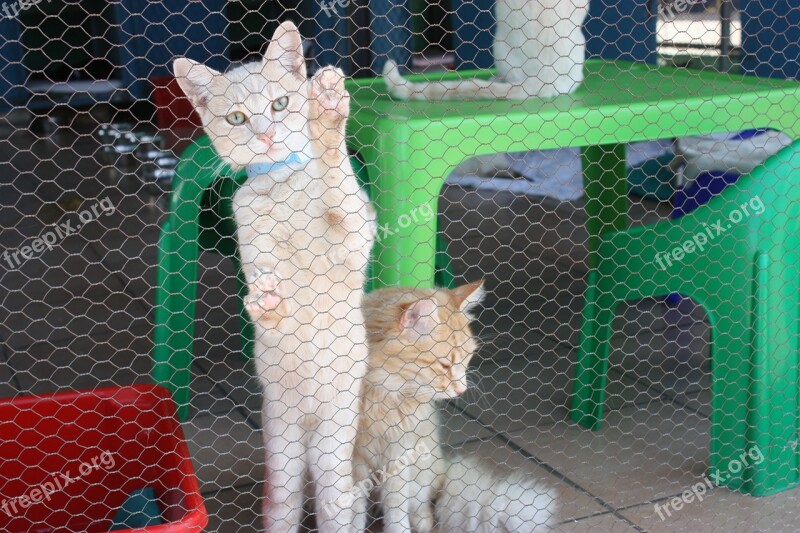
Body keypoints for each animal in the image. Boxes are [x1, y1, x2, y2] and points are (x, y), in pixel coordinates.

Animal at [173, 19, 376, 528]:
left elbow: (338, 186)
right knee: (284, 501)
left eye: (280, 104)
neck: (283, 183)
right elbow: (272, 307)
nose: (266, 136)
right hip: (281, 453)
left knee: (334, 503)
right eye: (238, 118)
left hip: (334, 445)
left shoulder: (353, 236)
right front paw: (266, 299)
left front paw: (327, 113)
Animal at [350, 280, 556, 528]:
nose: (462, 389)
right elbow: (355, 512)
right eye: (445, 365)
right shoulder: (353, 462)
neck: (381, 396)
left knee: (422, 507)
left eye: (467, 359)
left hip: (423, 473)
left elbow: (396, 514)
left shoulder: (398, 457)